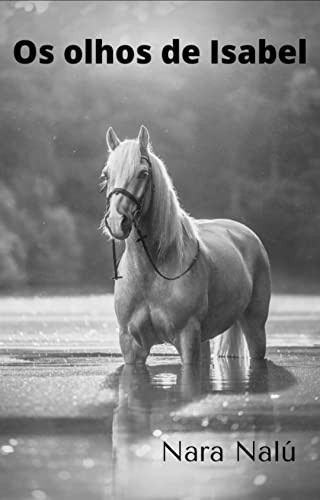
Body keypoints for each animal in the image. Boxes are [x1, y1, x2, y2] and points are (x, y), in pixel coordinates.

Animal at [101, 127, 272, 366]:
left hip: (255, 327)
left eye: (143, 174)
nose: (117, 221)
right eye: (106, 175)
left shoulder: (187, 337)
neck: (151, 273)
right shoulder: (131, 346)